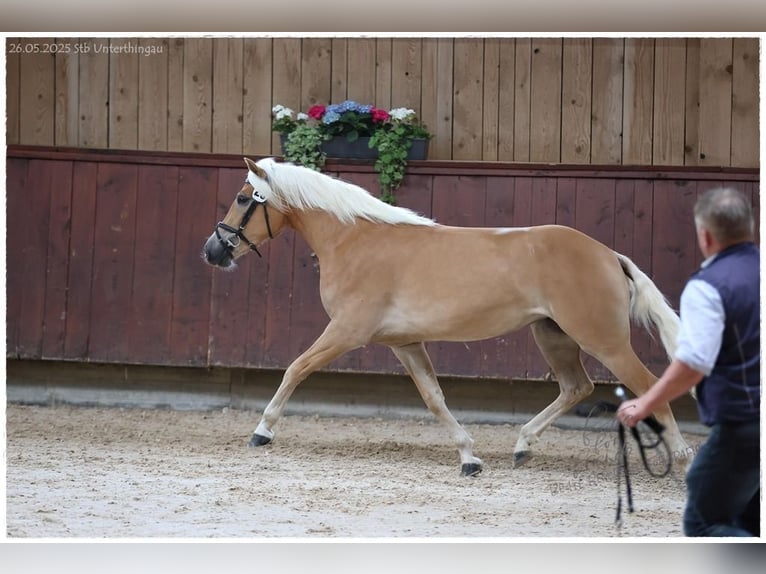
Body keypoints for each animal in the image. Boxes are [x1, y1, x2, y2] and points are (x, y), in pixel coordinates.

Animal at [203, 157, 692, 476]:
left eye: (244, 198)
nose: (213, 250)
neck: (357, 241)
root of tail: (609, 254)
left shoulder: (345, 331)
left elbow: (295, 368)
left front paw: (262, 431)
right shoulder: (404, 343)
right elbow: (435, 398)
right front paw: (469, 458)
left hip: (603, 340)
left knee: (648, 385)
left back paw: (682, 456)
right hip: (554, 336)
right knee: (577, 387)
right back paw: (522, 446)